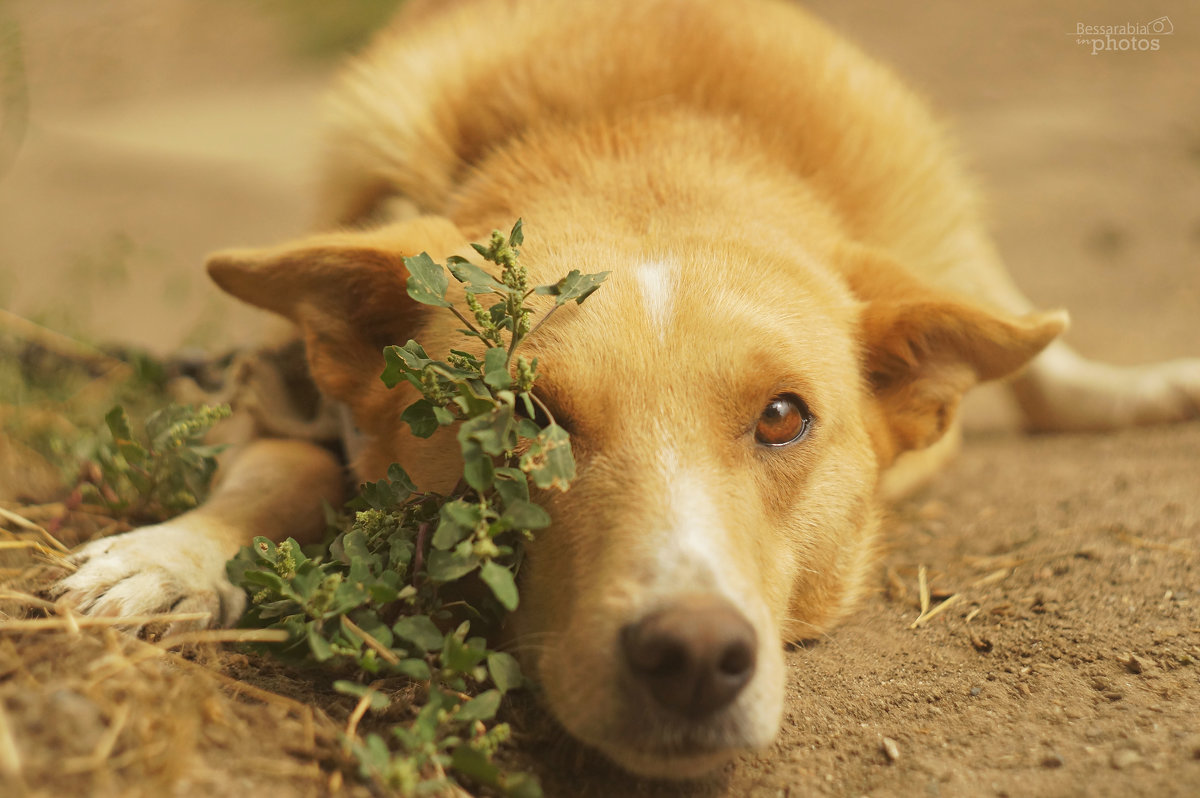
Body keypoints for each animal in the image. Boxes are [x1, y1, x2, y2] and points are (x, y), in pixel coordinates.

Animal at [56, 0, 1200, 777]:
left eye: (783, 418)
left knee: (1035, 345)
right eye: (521, 416)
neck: (643, 139)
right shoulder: (290, 384)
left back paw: (1140, 388)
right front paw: (172, 554)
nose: (692, 656)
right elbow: (282, 465)